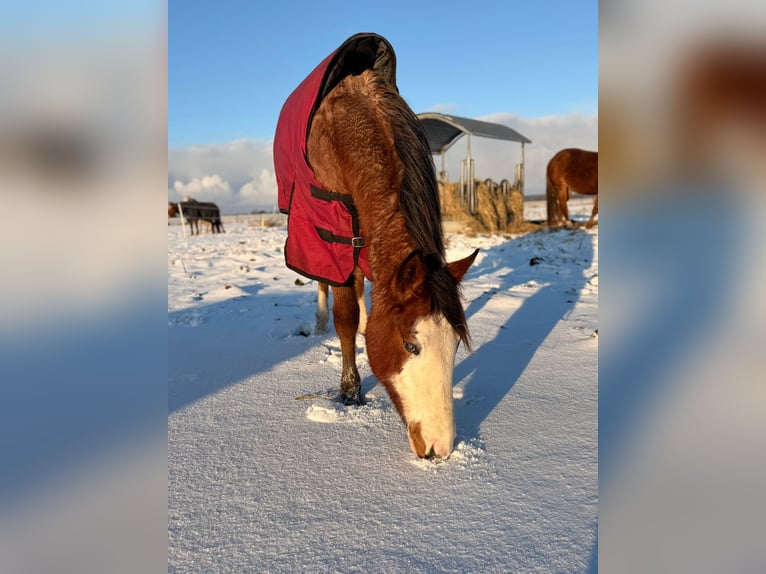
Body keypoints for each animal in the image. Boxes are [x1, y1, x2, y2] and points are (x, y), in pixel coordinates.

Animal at [277, 34, 478, 459]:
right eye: (411, 346)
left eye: (455, 345)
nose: (440, 448)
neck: (348, 128)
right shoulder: (332, 231)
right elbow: (345, 316)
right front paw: (350, 392)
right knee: (326, 284)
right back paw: (320, 320)